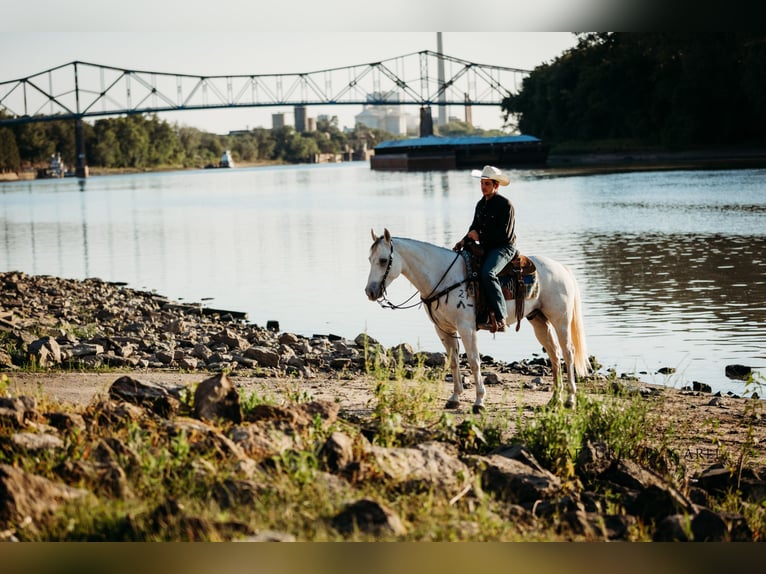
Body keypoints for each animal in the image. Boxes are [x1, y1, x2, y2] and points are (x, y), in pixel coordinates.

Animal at [365, 229, 589, 413]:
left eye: (383, 260)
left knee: (568, 353)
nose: (370, 291)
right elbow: (454, 362)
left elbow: (473, 361)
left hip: (560, 320)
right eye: (369, 259)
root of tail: (562, 268)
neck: (443, 276)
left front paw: (479, 401)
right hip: (539, 320)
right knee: (554, 354)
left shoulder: (466, 327)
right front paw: (454, 398)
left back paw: (570, 399)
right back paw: (555, 400)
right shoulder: (443, 329)